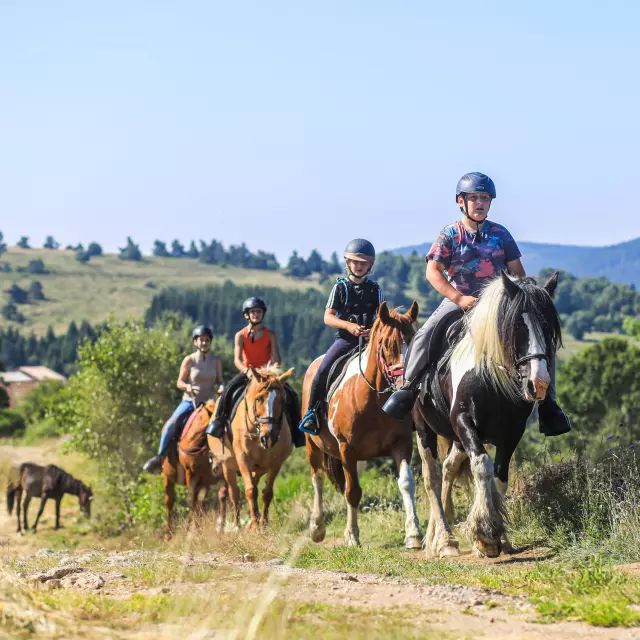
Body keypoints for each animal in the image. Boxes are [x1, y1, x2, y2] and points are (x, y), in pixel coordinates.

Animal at [162, 399, 227, 536]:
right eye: (213, 434)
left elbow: (222, 495)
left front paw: (221, 527)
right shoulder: (190, 475)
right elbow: (192, 502)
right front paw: (192, 531)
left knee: (200, 504)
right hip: (167, 477)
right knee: (170, 502)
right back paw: (168, 534)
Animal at [207, 365, 295, 529]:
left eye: (282, 400)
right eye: (259, 399)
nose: (269, 436)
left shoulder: (275, 463)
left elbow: (267, 493)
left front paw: (263, 523)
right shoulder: (243, 459)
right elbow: (250, 491)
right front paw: (254, 525)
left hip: (259, 468)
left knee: (254, 482)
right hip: (228, 466)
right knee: (235, 493)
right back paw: (237, 525)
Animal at [302, 301, 423, 548]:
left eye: (414, 340)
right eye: (386, 345)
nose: (407, 384)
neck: (375, 401)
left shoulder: (402, 443)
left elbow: (406, 483)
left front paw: (413, 534)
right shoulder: (347, 449)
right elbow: (353, 492)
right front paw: (351, 536)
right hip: (313, 445)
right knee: (317, 478)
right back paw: (317, 527)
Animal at [413, 271, 561, 558]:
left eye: (548, 327)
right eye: (516, 327)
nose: (538, 383)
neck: (488, 376)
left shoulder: (512, 432)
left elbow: (499, 477)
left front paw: (501, 537)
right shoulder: (463, 422)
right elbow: (482, 466)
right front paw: (485, 536)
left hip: (457, 441)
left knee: (448, 470)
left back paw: (440, 537)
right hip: (424, 429)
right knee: (432, 478)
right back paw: (443, 541)